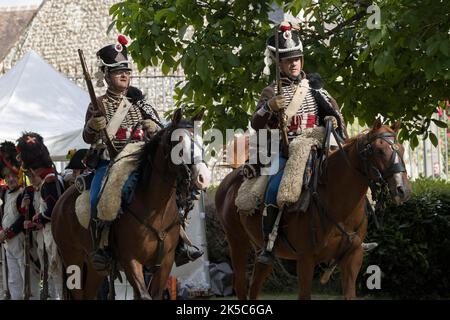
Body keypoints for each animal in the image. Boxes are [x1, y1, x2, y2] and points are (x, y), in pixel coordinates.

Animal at [51, 110, 211, 300]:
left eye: (201, 141)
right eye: (177, 142)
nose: (203, 177)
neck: (156, 210)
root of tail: (60, 202)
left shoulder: (164, 263)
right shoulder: (131, 261)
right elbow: (144, 295)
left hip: (93, 268)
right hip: (73, 260)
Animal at [216, 119, 414, 300]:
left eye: (402, 149)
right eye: (379, 150)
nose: (403, 190)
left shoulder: (352, 257)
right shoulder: (305, 260)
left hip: (260, 249)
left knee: (256, 284)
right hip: (237, 240)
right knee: (240, 284)